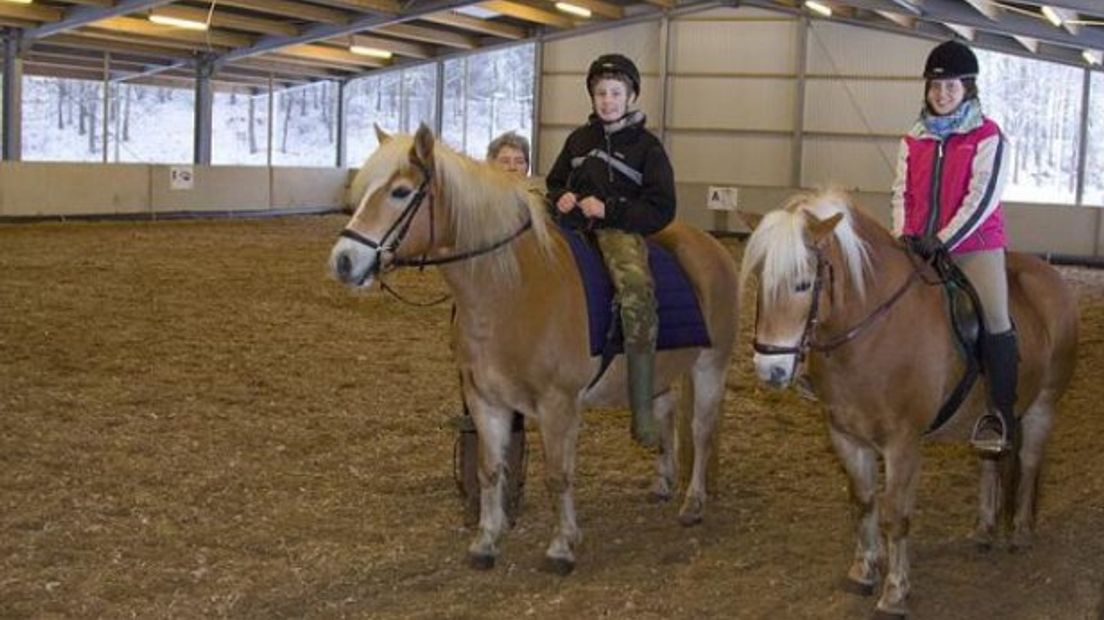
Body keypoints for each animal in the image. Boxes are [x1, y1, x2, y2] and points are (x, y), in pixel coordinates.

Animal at [328, 123, 741, 573]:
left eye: (401, 192)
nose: (343, 261)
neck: (512, 289)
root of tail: (712, 249)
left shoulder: (558, 403)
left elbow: (558, 474)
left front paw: (561, 546)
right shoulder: (485, 400)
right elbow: (491, 469)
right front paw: (486, 541)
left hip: (711, 366)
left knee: (701, 431)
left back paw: (693, 503)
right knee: (664, 412)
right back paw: (663, 482)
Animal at [737, 190, 1073, 613]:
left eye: (802, 283)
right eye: (760, 279)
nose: (771, 370)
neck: (874, 330)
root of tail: (1048, 275)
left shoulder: (902, 443)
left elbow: (896, 513)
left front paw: (895, 591)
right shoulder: (847, 436)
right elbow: (864, 501)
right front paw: (863, 571)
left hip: (1043, 405)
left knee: (1028, 463)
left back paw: (1021, 533)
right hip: (989, 417)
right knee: (990, 461)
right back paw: (983, 530)